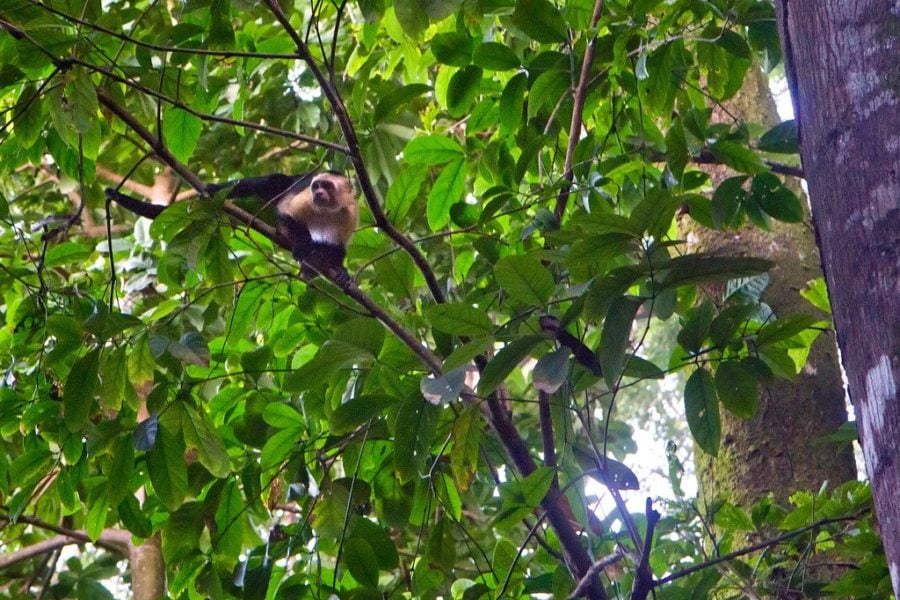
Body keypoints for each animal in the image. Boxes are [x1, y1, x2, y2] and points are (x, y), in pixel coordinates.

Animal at [106, 171, 359, 282]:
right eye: (317, 185)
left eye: (327, 186)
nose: (318, 192)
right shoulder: (305, 198)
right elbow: (285, 212)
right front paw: (304, 245)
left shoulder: (349, 213)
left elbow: (338, 248)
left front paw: (340, 271)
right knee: (269, 182)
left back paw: (311, 267)